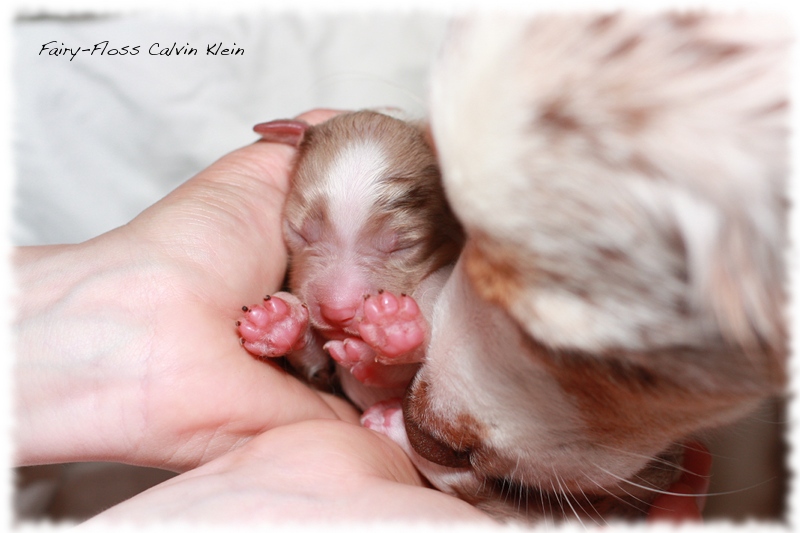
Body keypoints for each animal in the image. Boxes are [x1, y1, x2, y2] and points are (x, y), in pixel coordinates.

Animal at [238, 110, 462, 410]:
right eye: (298, 232)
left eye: (405, 244)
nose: (336, 311)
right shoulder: (325, 373)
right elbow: (319, 365)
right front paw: (278, 324)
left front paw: (394, 327)